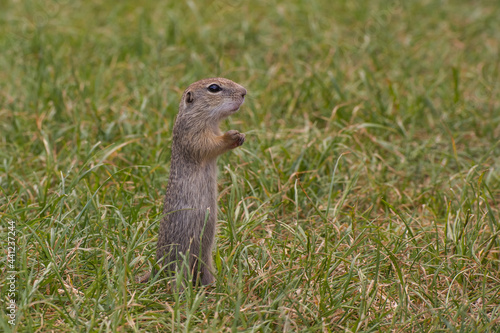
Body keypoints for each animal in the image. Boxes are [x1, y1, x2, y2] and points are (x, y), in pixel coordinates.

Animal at [155, 77, 247, 286]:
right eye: (214, 88)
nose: (244, 92)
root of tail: (156, 267)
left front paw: (241, 136)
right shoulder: (192, 134)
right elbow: (208, 145)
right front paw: (232, 135)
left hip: (205, 255)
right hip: (180, 255)